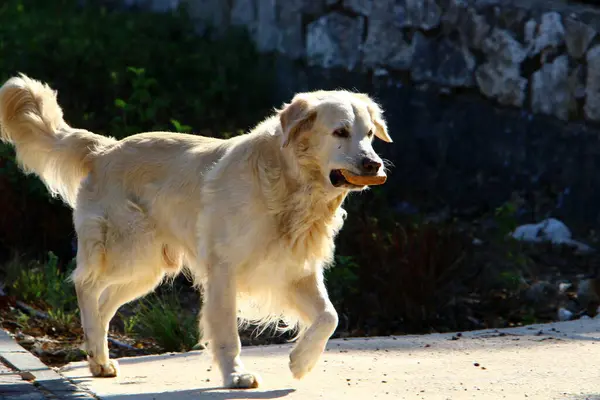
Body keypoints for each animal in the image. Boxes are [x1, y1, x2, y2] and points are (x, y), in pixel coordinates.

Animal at [0, 74, 392, 388]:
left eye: (370, 134)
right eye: (340, 132)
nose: (373, 164)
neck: (290, 185)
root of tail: (105, 149)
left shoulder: (296, 271)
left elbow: (329, 316)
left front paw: (300, 362)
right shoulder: (224, 270)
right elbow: (227, 332)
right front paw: (236, 375)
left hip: (149, 267)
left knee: (105, 302)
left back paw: (100, 360)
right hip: (129, 250)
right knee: (86, 284)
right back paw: (95, 349)